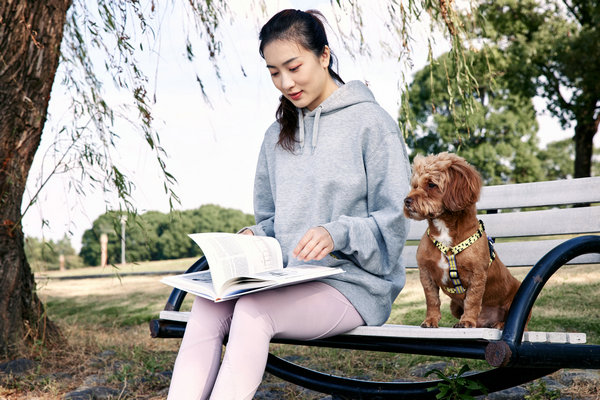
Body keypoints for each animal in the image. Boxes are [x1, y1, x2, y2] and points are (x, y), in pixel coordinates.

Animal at [406, 153, 524, 328]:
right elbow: (432, 300)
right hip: (454, 306)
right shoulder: (425, 273)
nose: (406, 201)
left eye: (431, 184)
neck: (445, 232)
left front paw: (467, 321)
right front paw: (430, 320)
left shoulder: (477, 275)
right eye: (415, 185)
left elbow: (472, 300)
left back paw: (499, 324)